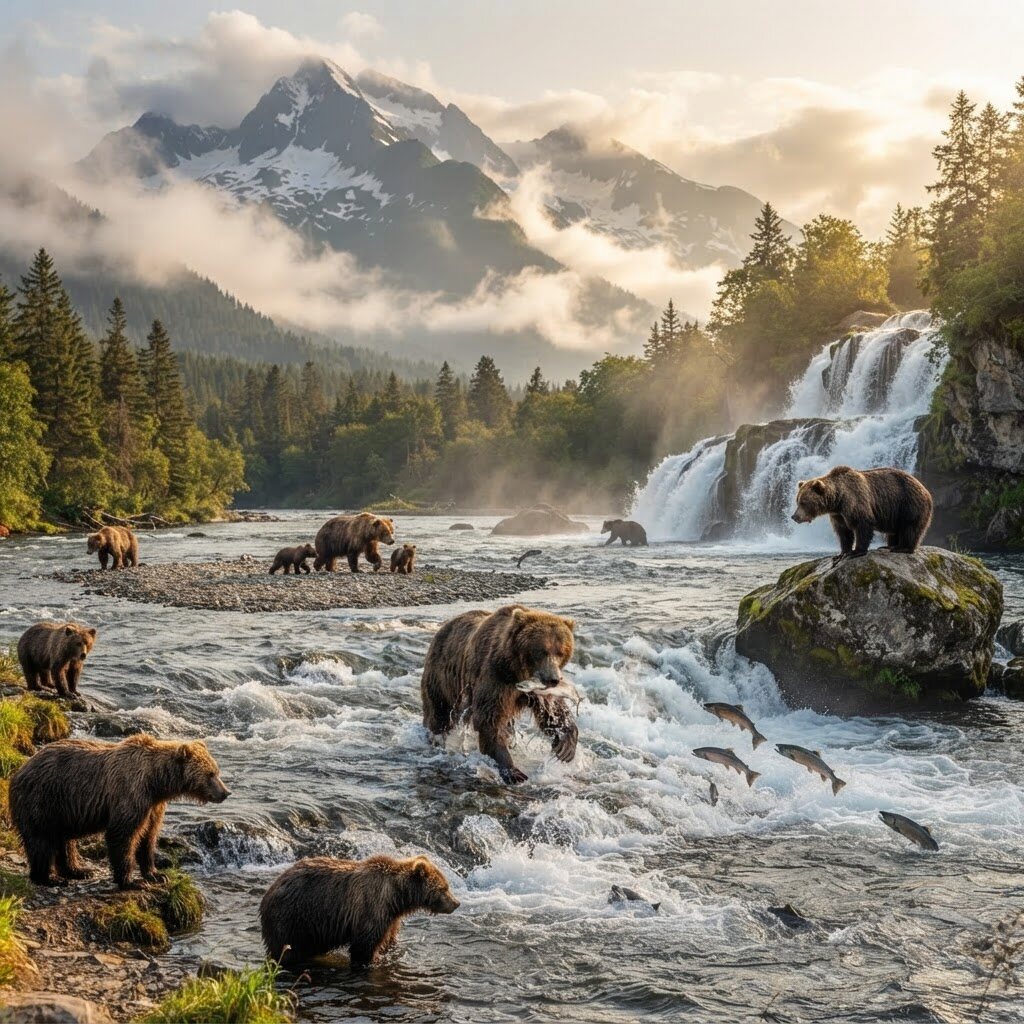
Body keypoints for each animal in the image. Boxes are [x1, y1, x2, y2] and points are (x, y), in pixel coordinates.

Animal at [9, 734, 229, 889]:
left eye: (217, 771)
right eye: (210, 774)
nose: (226, 792)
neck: (156, 782)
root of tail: (19, 770)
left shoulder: (153, 806)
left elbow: (148, 837)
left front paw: (157, 874)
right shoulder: (131, 794)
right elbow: (123, 834)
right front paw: (132, 881)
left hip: (62, 810)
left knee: (64, 841)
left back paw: (78, 871)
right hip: (43, 800)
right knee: (41, 841)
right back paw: (49, 878)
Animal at [259, 854, 459, 968]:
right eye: (444, 888)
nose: (456, 903)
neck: (396, 896)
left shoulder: (390, 917)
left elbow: (389, 939)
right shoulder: (372, 907)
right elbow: (364, 946)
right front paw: (371, 961)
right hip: (294, 917)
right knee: (288, 950)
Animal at [420, 604, 578, 784]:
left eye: (561, 652)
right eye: (541, 651)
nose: (553, 679)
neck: (517, 672)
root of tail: (442, 628)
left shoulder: (535, 691)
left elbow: (552, 712)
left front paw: (565, 747)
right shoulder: (496, 677)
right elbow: (489, 719)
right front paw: (513, 772)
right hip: (442, 678)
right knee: (439, 712)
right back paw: (436, 738)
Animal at [791, 465, 933, 561]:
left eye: (804, 502)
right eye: (797, 501)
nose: (794, 516)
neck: (838, 500)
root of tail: (926, 490)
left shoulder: (855, 500)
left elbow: (862, 525)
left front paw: (856, 551)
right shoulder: (838, 515)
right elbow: (843, 532)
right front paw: (841, 553)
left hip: (909, 504)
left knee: (910, 528)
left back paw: (902, 547)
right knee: (894, 532)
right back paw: (887, 546)